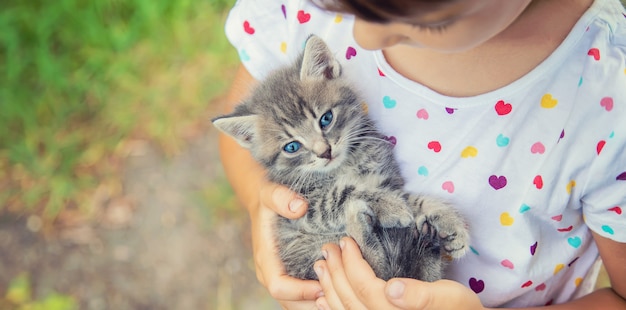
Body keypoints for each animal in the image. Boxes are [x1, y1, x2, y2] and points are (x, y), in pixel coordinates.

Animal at [212, 35, 466, 280]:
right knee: (378, 270)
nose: (325, 151)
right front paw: (391, 205)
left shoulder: (387, 178)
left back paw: (427, 241)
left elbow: (411, 198)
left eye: (326, 118)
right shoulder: (305, 208)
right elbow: (343, 193)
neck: (347, 164)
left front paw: (448, 222)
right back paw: (360, 223)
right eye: (292, 146)